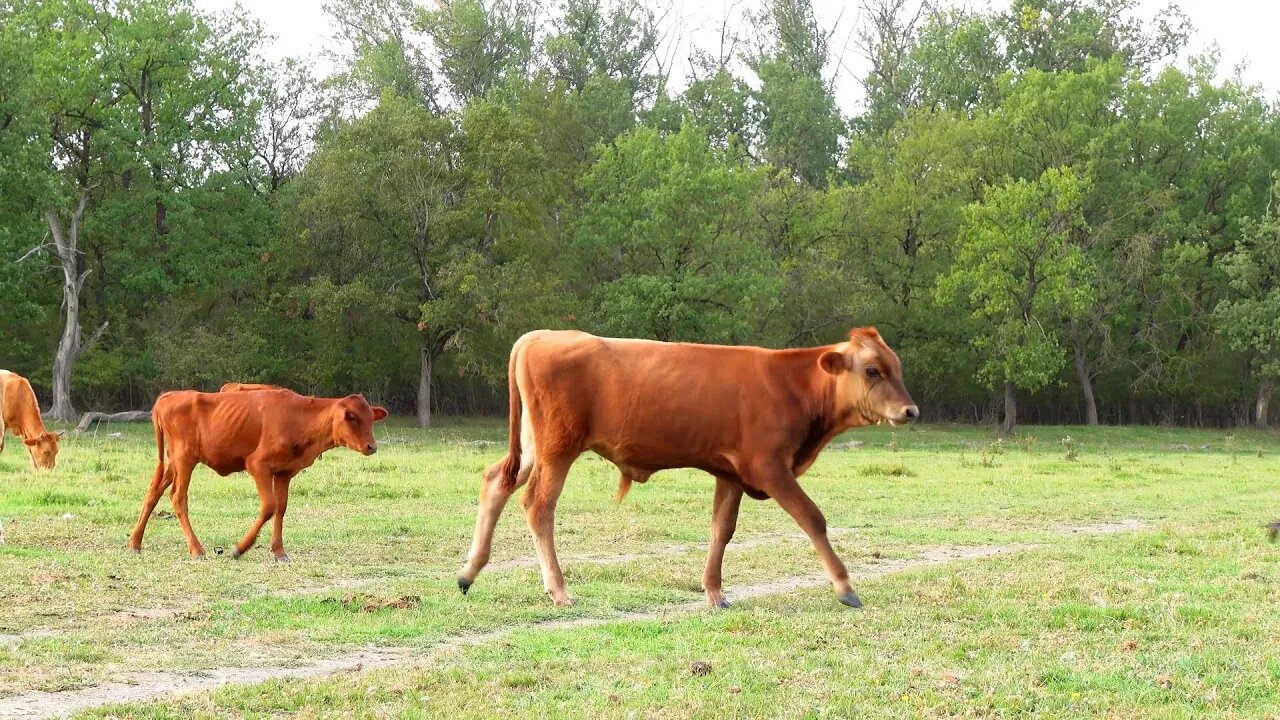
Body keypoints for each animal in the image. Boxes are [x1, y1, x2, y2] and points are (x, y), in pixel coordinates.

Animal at [131, 386, 389, 561]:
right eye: (352, 417)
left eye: (370, 418)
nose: (372, 446)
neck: (298, 418)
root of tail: (171, 395)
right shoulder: (258, 465)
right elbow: (269, 507)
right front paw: (239, 549)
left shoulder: (284, 472)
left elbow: (281, 509)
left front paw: (279, 551)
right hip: (185, 459)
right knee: (178, 497)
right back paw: (196, 548)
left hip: (174, 463)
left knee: (153, 492)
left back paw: (135, 542)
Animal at [460, 327, 921, 607]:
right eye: (872, 370)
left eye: (897, 367)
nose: (911, 411)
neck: (793, 385)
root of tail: (540, 335)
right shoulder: (770, 467)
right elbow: (812, 518)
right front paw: (845, 586)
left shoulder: (731, 474)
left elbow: (721, 531)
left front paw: (714, 592)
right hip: (558, 448)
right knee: (538, 505)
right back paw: (558, 589)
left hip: (532, 448)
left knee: (495, 483)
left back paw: (469, 572)